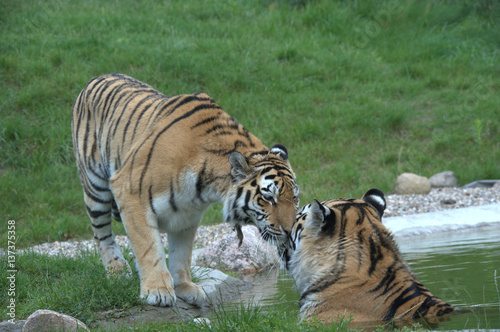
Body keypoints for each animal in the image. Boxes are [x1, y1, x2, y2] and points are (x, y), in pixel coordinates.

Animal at [70, 74, 296, 308]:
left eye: (295, 198)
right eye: (268, 198)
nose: (290, 230)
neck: (206, 187)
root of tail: (98, 78)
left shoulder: (187, 214)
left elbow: (181, 253)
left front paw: (184, 287)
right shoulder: (129, 190)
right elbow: (149, 246)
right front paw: (158, 290)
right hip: (95, 187)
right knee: (102, 233)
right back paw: (117, 271)